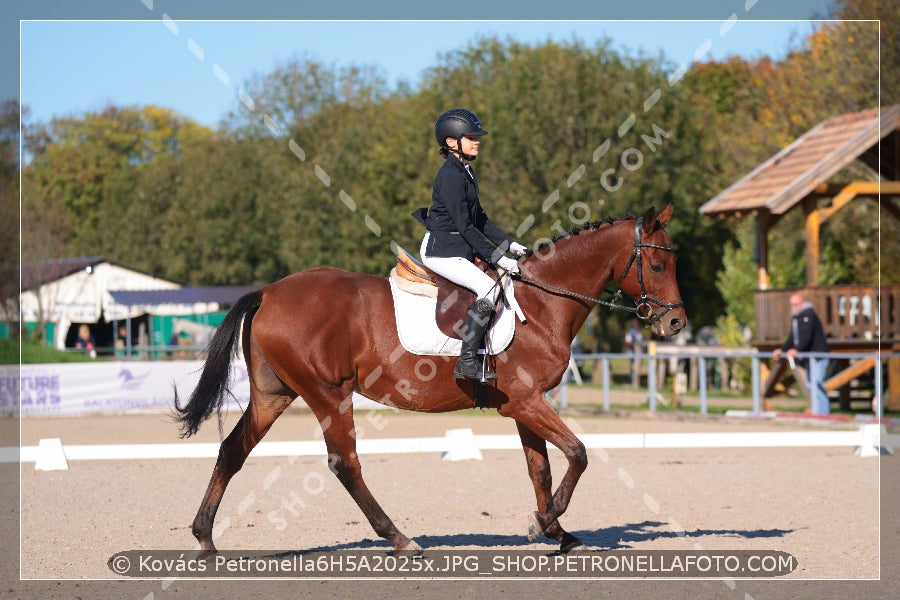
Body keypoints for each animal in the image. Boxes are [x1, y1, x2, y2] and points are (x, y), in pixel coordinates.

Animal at [176, 204, 684, 556]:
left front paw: (557, 531)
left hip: (273, 395)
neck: (542, 304)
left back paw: (205, 539)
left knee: (233, 450)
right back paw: (400, 539)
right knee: (345, 464)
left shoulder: (523, 404)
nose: (676, 324)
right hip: (327, 394)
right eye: (658, 266)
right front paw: (544, 523)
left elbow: (540, 468)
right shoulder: (525, 401)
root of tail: (269, 292)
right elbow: (577, 453)